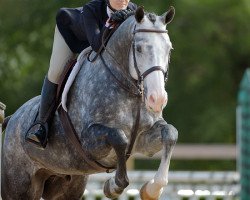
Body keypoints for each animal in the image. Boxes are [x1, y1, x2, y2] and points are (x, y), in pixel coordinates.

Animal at [1, 6, 178, 200]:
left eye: (169, 49)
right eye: (138, 49)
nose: (158, 99)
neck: (130, 91)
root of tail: (13, 118)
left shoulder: (144, 140)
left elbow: (170, 133)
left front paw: (152, 189)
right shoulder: (88, 143)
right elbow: (119, 137)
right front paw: (114, 186)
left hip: (67, 185)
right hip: (19, 186)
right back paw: (36, 133)